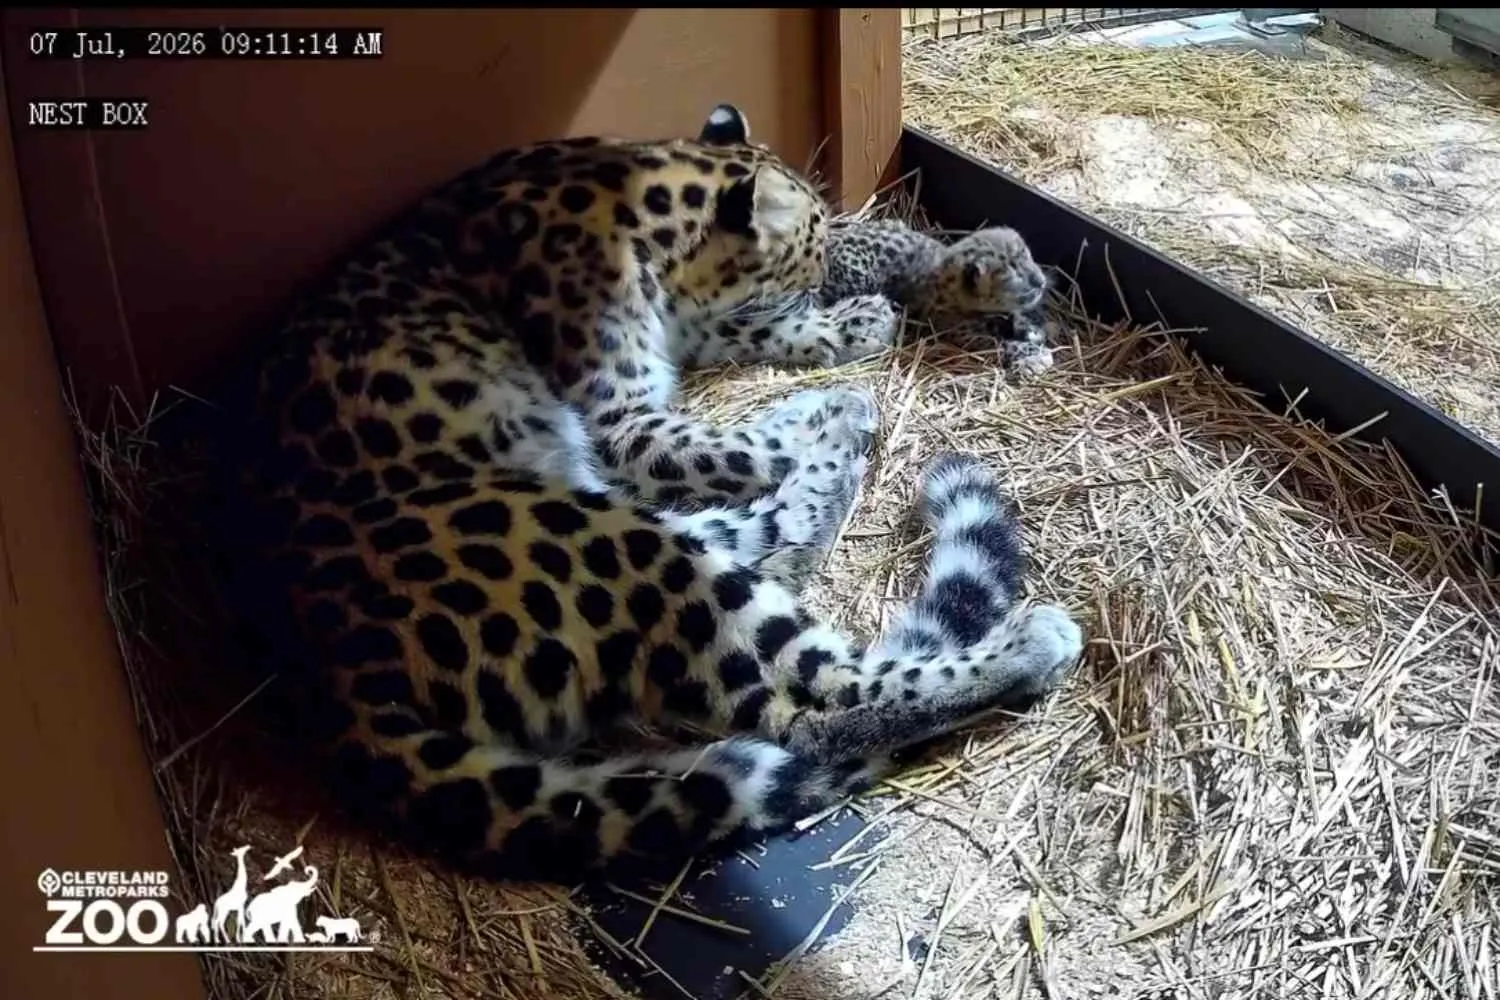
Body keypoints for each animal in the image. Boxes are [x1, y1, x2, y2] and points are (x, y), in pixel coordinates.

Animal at [239, 101, 1085, 883]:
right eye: (808, 254)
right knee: (813, 702)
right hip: (594, 533)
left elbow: (740, 338)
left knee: (763, 546)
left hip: (610, 515)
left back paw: (835, 430)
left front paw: (830, 346)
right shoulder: (618, 421)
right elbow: (729, 439)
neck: (643, 217)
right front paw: (840, 353)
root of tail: (331, 675)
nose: (830, 277)